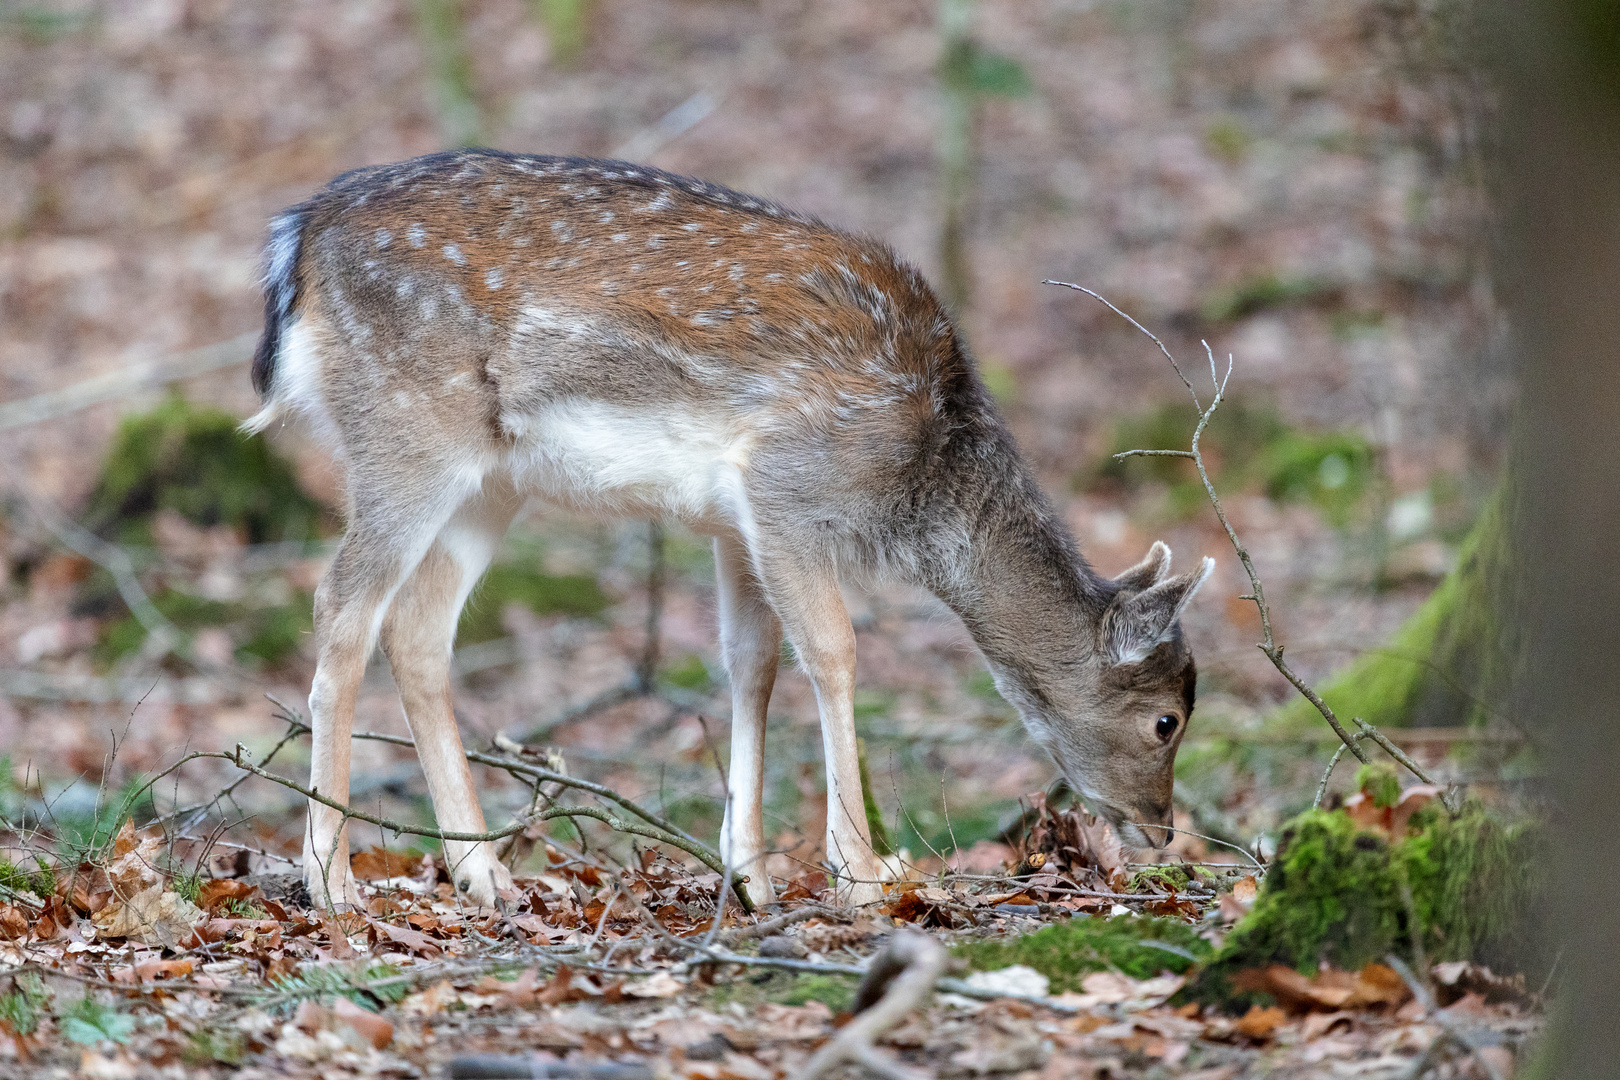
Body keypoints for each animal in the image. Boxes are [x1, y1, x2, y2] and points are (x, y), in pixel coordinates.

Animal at [249, 149, 1218, 913]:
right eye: (1166, 720)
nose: (1162, 828)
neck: (923, 477)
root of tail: (297, 237)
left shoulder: (733, 522)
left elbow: (751, 666)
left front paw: (747, 872)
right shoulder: (787, 486)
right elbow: (832, 651)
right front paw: (862, 872)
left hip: (490, 482)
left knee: (417, 631)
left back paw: (484, 873)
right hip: (405, 430)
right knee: (341, 605)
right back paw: (331, 879)